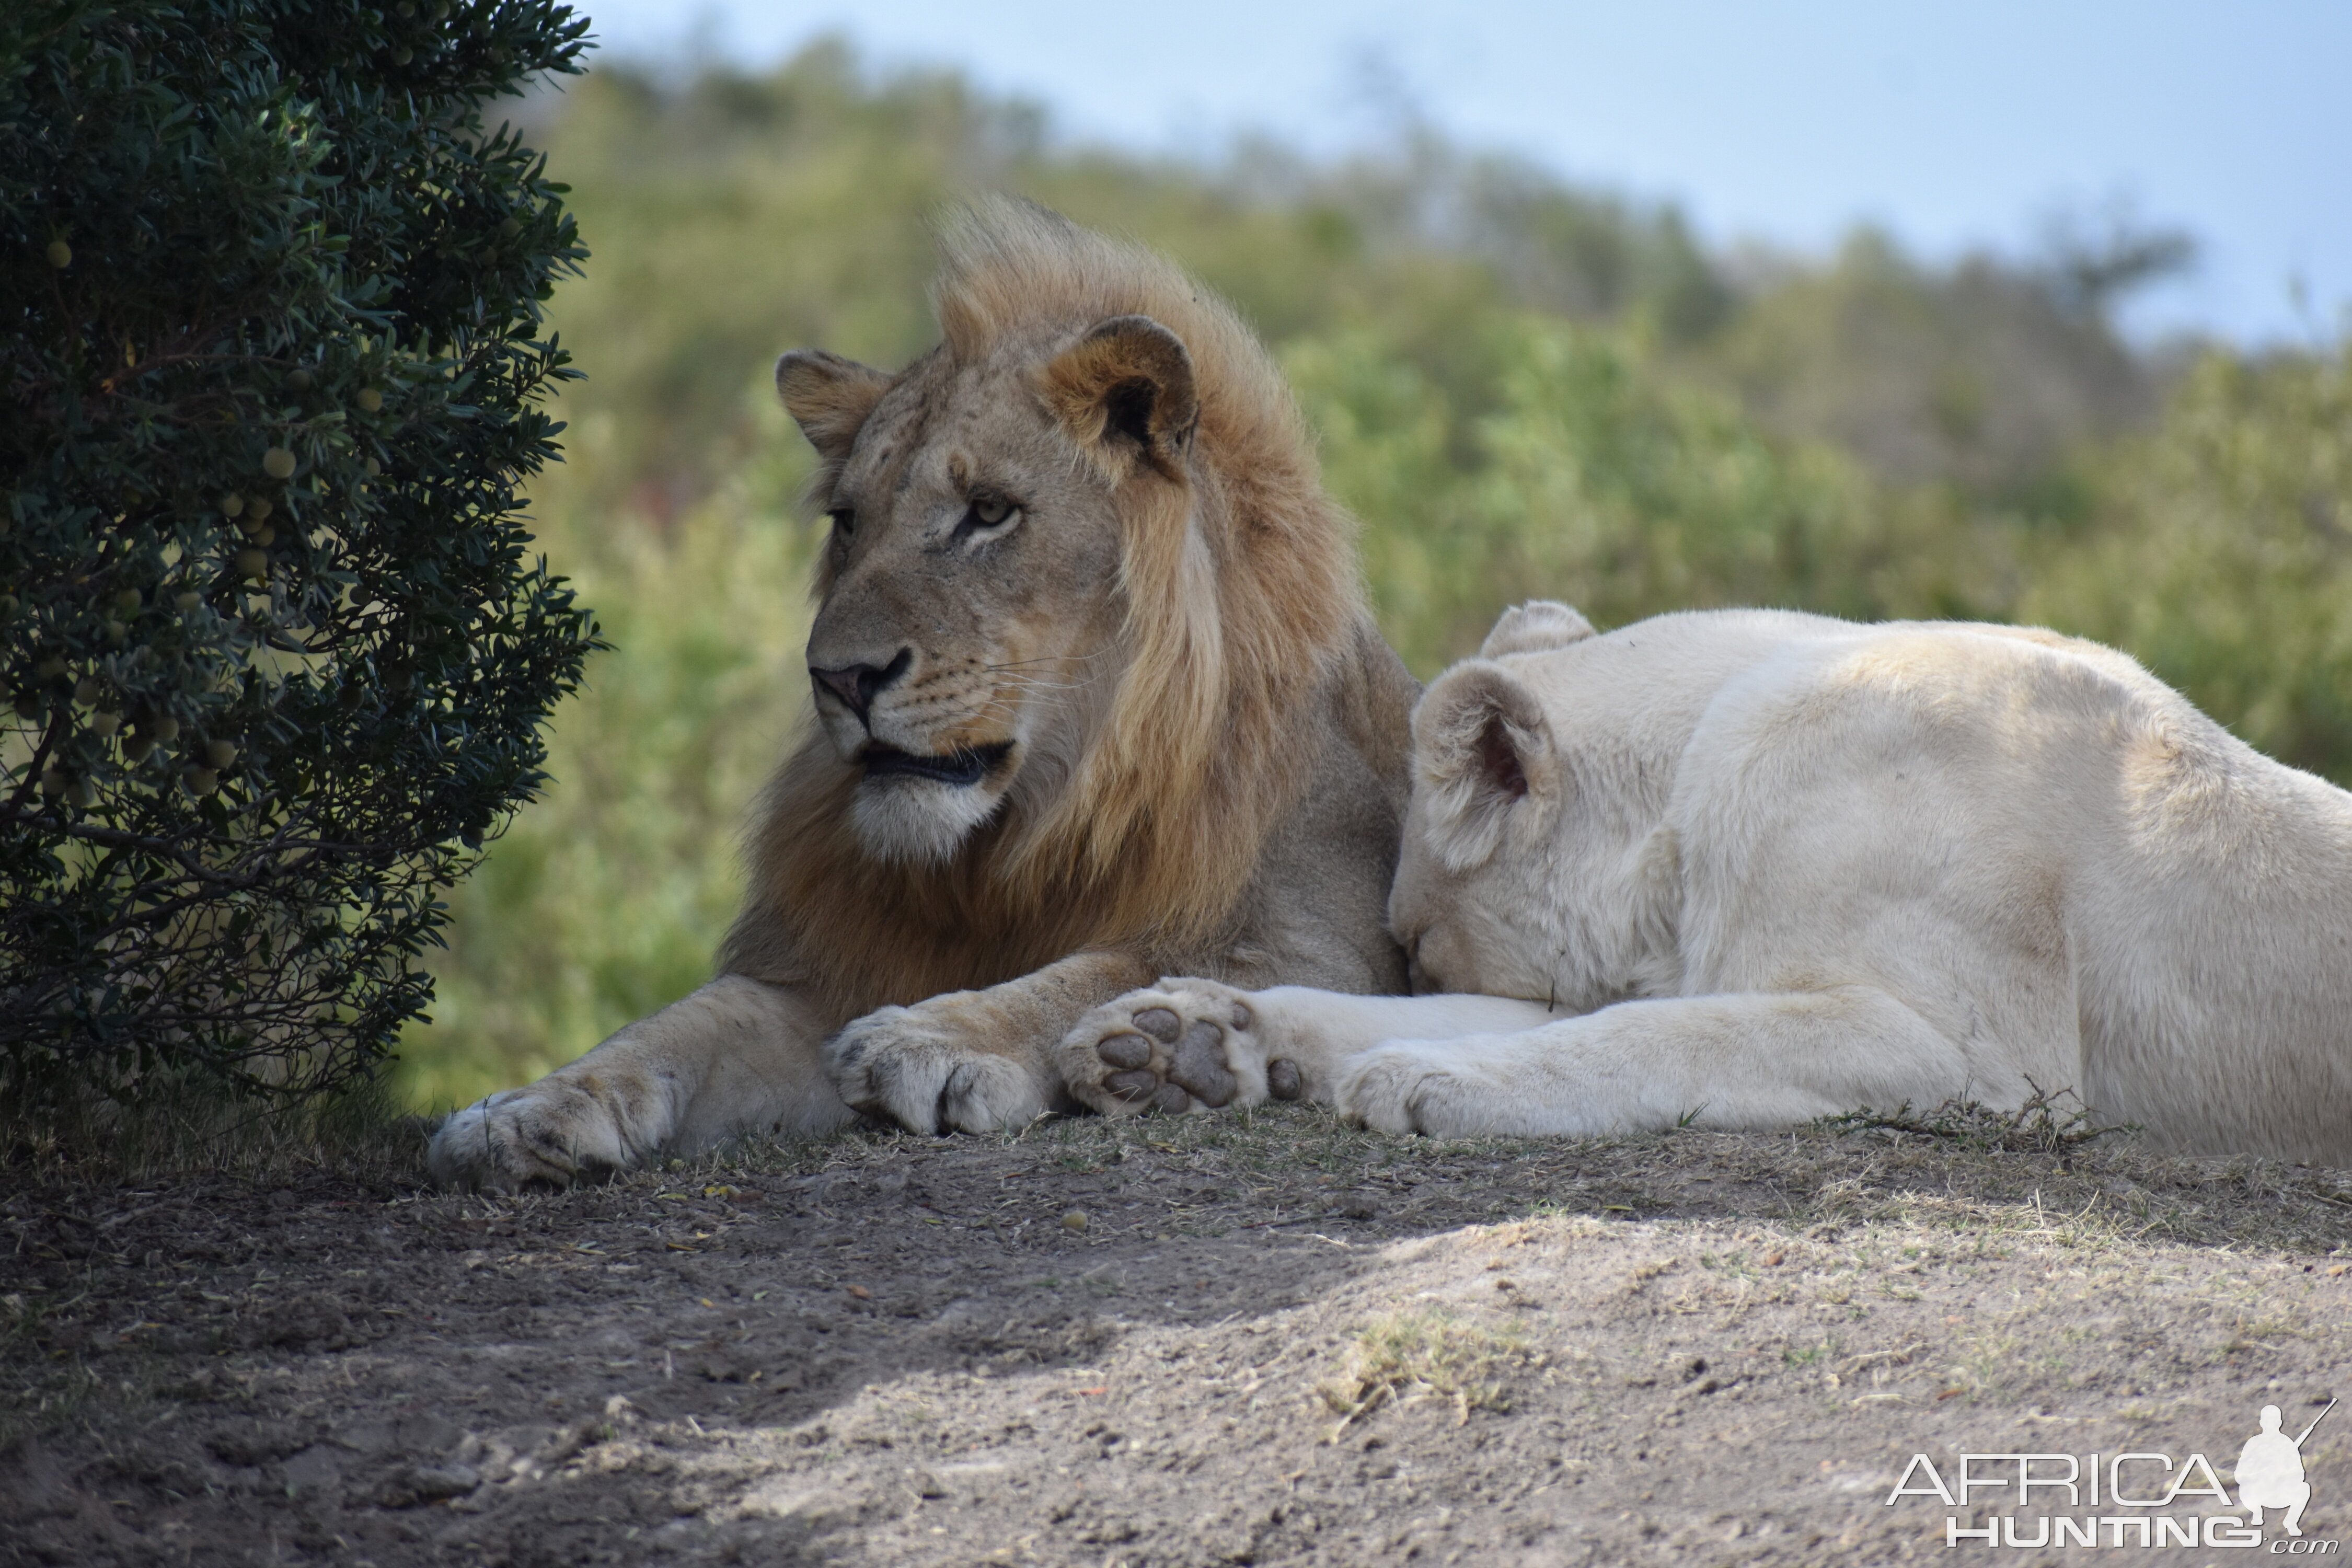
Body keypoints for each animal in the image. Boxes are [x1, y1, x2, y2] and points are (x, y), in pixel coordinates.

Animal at [423, 205, 1411, 1189]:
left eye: (989, 511)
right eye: (848, 522)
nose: (840, 678)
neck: (1023, 831)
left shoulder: (1327, 945)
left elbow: (1108, 966)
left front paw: (939, 1035)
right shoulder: (823, 970)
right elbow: (678, 1024)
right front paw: (524, 1109)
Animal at [1058, 602, 2352, 1166]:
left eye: (1420, 943)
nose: (1418, 964)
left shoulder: (1990, 1061)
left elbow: (1663, 1035)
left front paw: (1427, 1079)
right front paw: (1171, 1041)